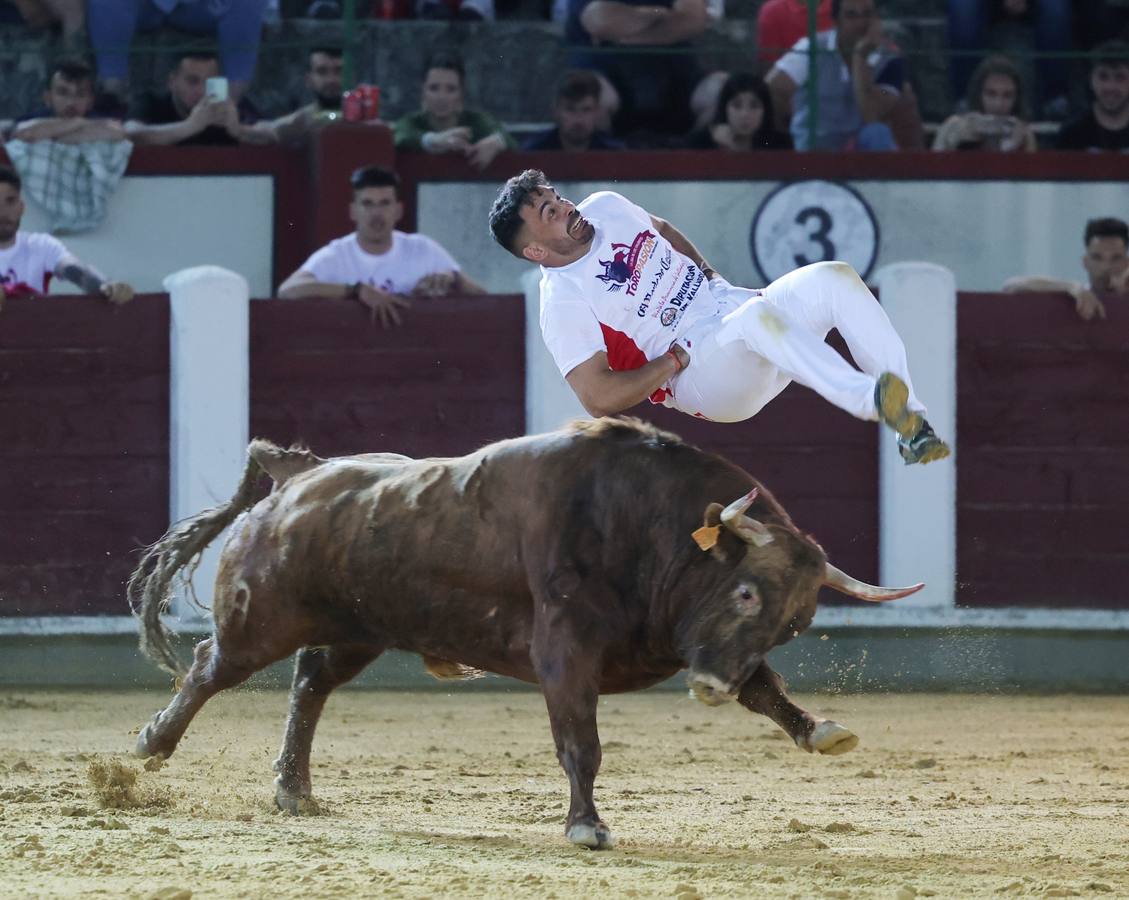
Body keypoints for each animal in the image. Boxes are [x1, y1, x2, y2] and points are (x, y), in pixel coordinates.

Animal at [129, 417, 916, 844]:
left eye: (794, 623)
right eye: (746, 591)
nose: (710, 691)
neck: (645, 527)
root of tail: (300, 472)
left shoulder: (692, 644)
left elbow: (765, 688)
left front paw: (820, 729)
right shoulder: (564, 651)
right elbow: (580, 744)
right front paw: (586, 827)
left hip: (360, 629)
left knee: (311, 682)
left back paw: (293, 789)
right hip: (259, 617)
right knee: (210, 666)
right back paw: (150, 745)